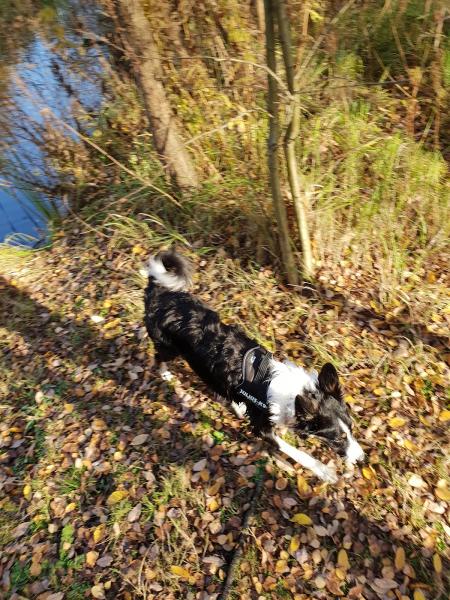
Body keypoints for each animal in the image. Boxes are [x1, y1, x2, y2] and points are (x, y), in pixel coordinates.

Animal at [144, 250, 366, 482]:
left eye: (352, 428)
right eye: (338, 439)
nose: (362, 459)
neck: (294, 393)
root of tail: (159, 291)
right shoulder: (262, 428)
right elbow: (296, 452)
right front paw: (323, 471)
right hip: (168, 348)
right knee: (158, 357)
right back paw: (166, 375)